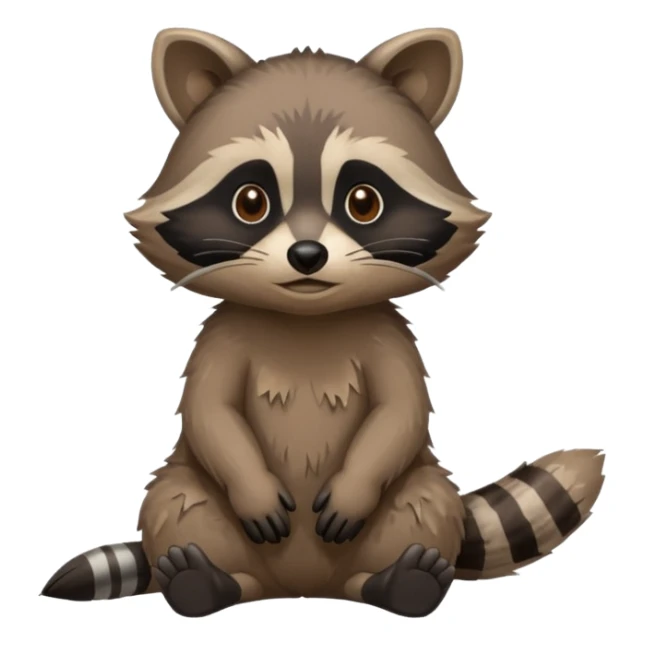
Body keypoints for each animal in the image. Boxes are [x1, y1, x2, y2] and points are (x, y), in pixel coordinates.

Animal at [43, 28, 605, 618]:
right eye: (250, 201)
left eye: (363, 201)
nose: (307, 255)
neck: (306, 322)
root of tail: (302, 586)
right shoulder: (223, 337)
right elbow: (211, 411)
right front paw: (249, 483)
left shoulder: (387, 335)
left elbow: (399, 410)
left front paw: (359, 483)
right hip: (197, 495)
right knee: (176, 501)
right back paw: (204, 580)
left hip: (410, 497)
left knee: (423, 504)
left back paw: (399, 582)